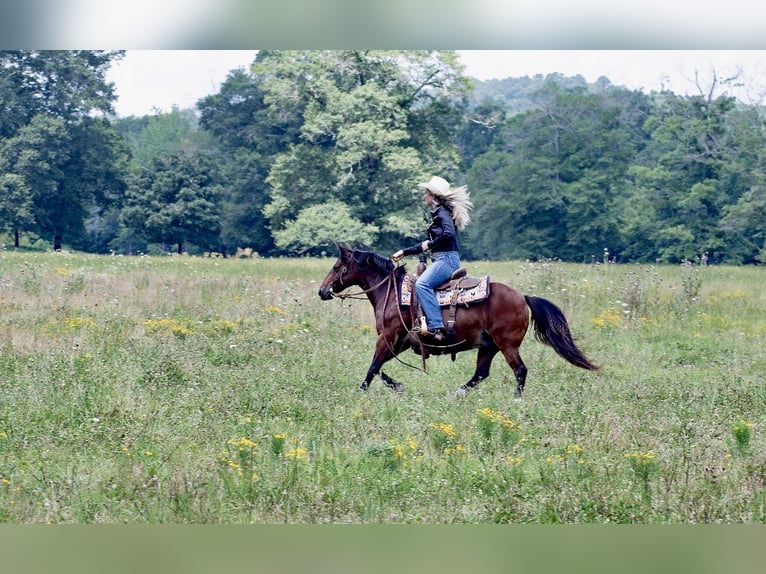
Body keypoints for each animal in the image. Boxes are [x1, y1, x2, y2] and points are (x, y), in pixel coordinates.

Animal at [318, 248, 600, 400]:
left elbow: (373, 367)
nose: (322, 291)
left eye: (337, 266)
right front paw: (396, 385)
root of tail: (523, 297)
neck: (393, 291)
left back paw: (516, 400)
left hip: (507, 345)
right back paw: (456, 394)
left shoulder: (387, 337)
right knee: (480, 374)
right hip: (488, 346)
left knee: (520, 371)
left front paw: (362, 391)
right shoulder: (400, 341)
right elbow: (379, 369)